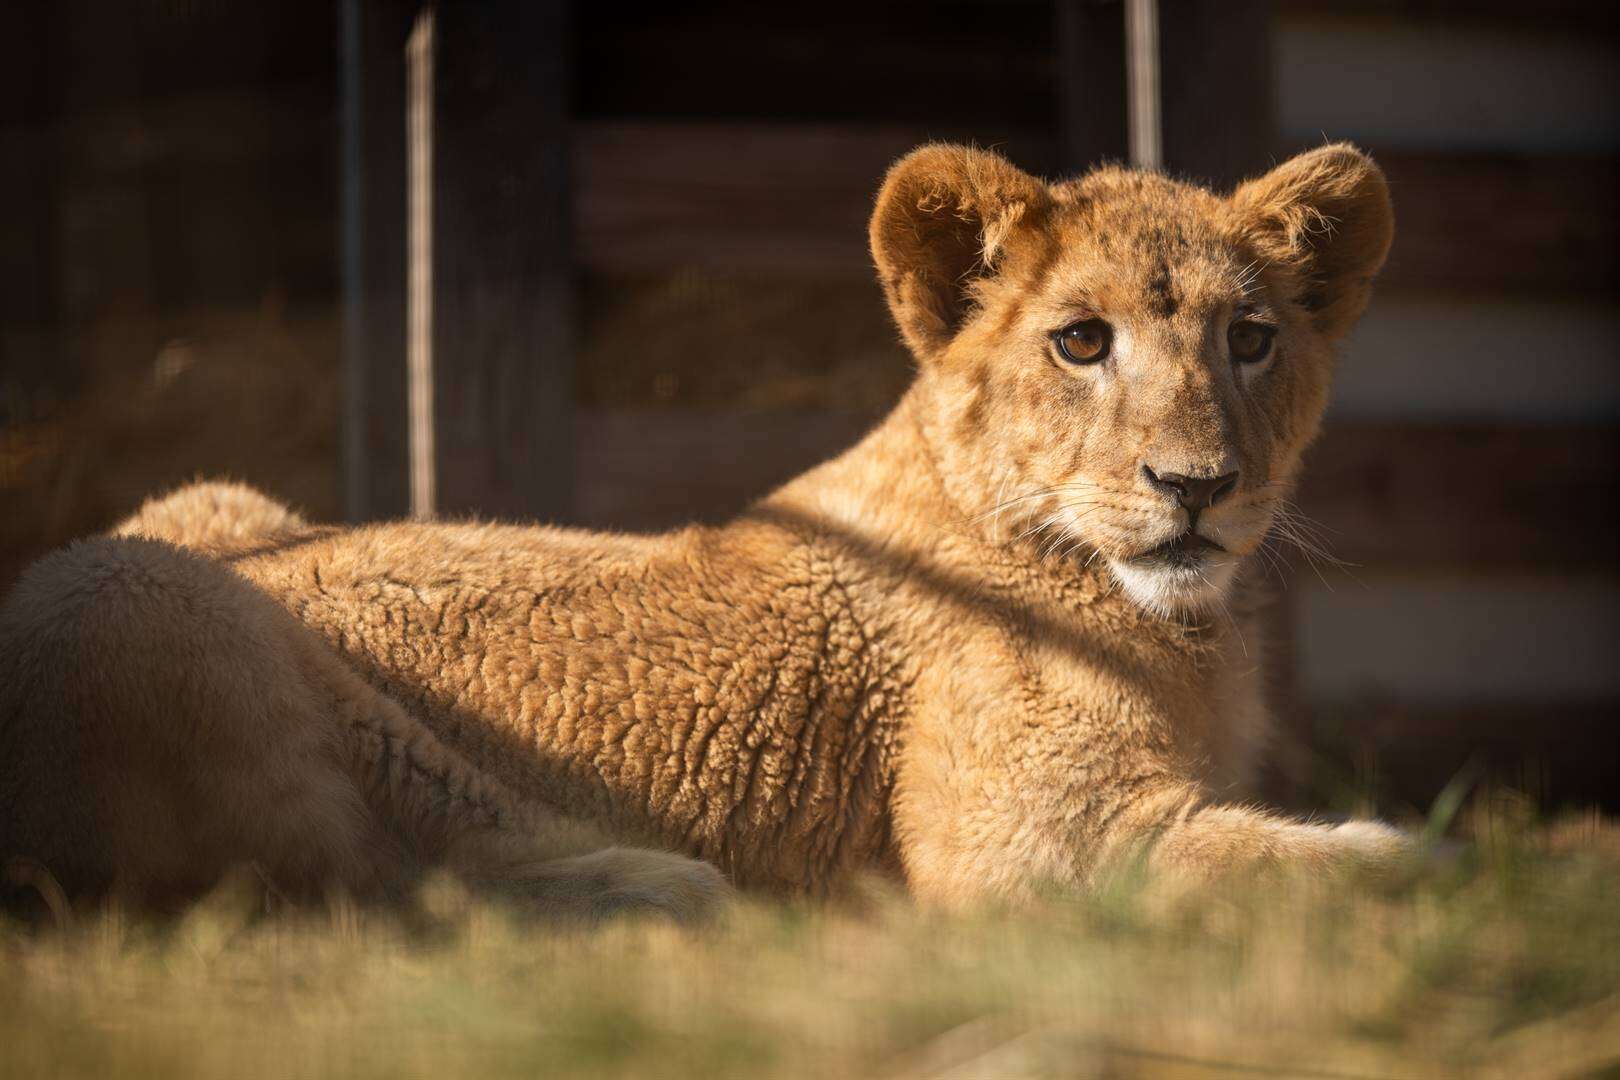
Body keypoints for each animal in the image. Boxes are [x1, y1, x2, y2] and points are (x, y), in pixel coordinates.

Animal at [0, 141, 1399, 919]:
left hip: (206, 504)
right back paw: (660, 893)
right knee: (357, 896)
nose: (1198, 484)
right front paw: (1423, 866)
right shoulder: (1024, 845)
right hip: (154, 599)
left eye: (1250, 338)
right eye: (1082, 340)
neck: (1192, 635)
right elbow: (1338, 871)